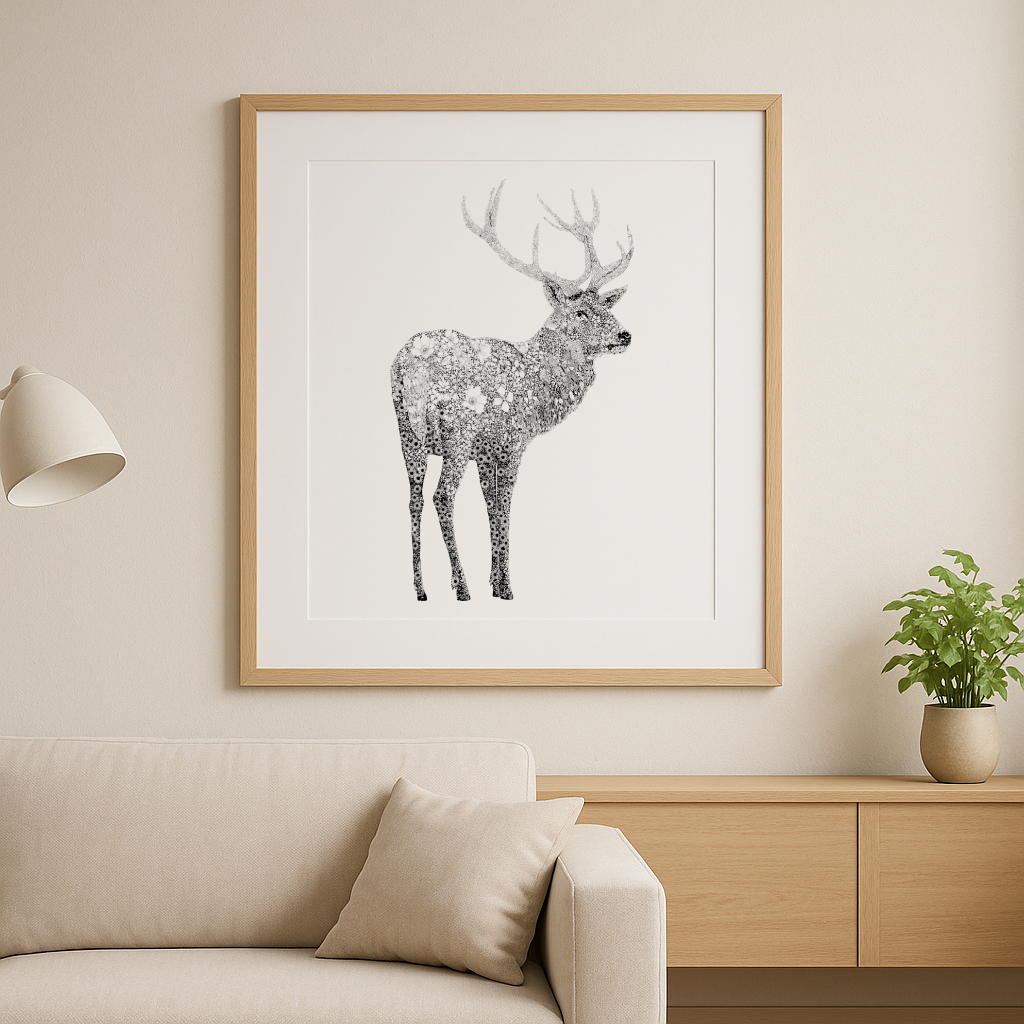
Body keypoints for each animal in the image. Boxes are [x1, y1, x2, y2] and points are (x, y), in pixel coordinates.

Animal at [390, 181, 633, 602]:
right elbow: (503, 504)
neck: (538, 394)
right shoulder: (509, 441)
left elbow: (490, 504)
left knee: (414, 498)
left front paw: (495, 579)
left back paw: (420, 589)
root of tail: (410, 367)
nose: (625, 335)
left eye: (607, 306)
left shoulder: (485, 452)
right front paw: (504, 587)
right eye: (580, 312)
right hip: (458, 431)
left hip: (406, 431)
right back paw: (461, 587)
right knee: (442, 496)